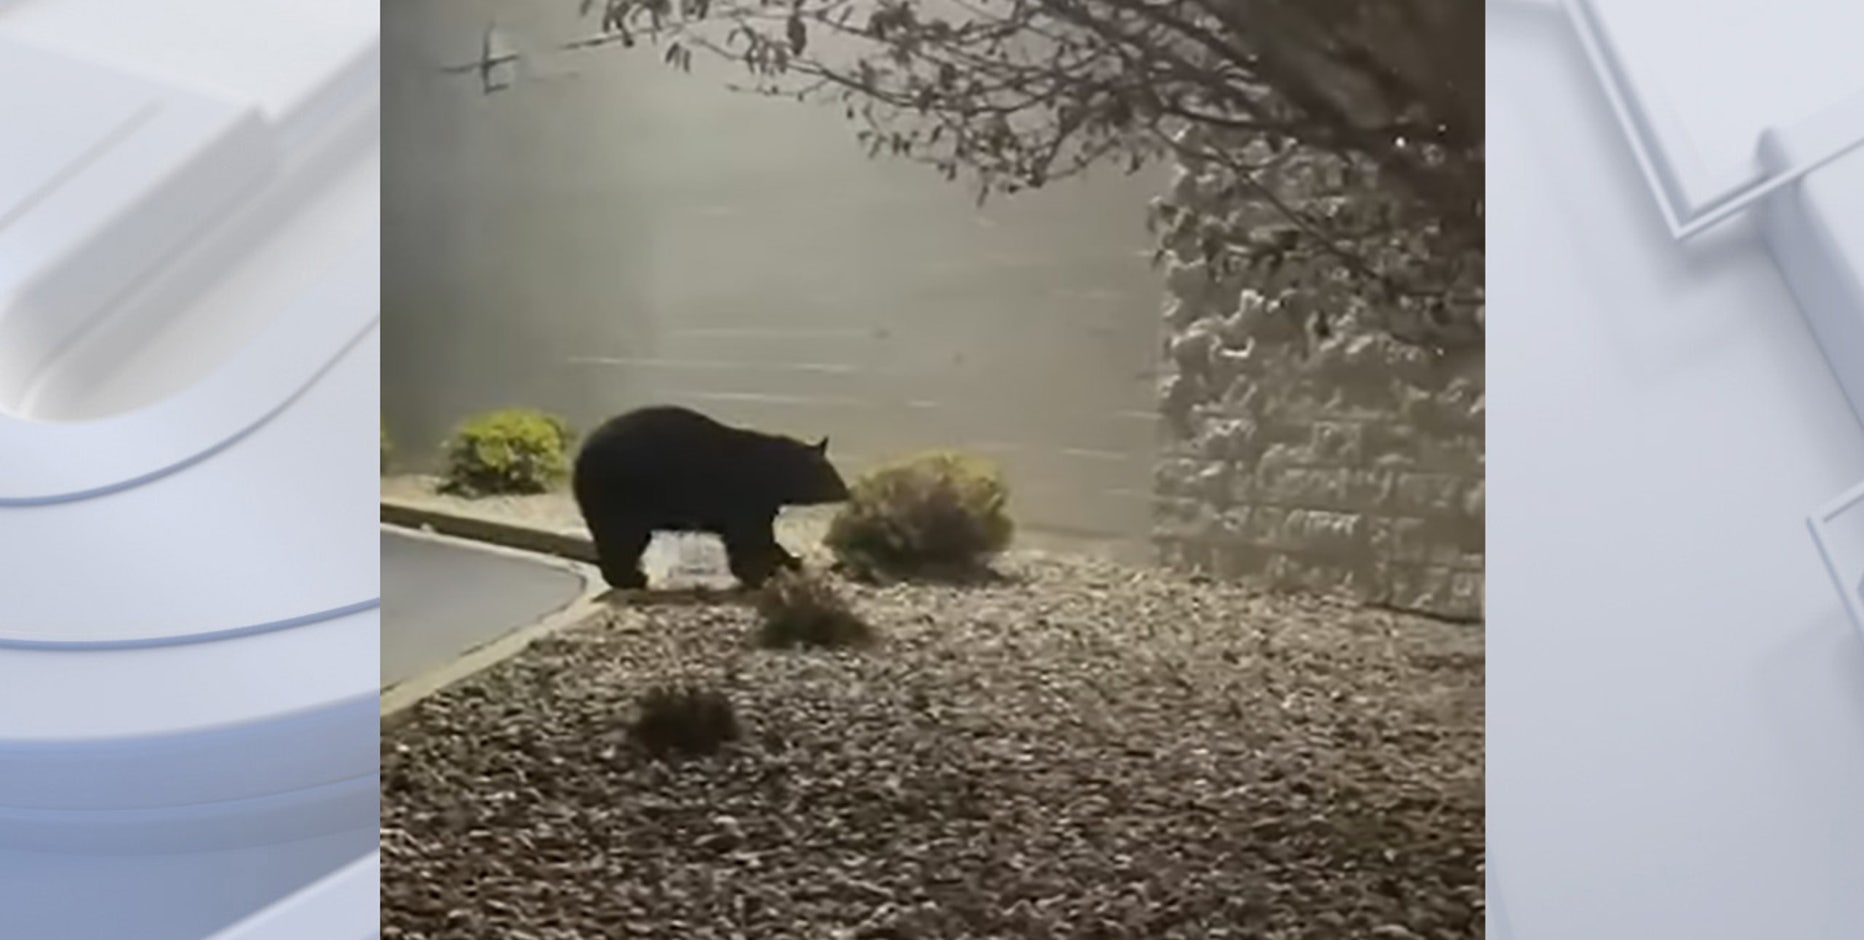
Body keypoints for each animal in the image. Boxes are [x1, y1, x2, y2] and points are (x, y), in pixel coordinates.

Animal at [571, 404, 851, 591]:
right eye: (831, 474)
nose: (847, 492)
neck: (774, 472)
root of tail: (579, 458)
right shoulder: (747, 497)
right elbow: (748, 538)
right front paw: (764, 571)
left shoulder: (762, 504)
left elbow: (759, 537)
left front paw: (788, 562)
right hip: (621, 494)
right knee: (622, 538)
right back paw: (631, 579)